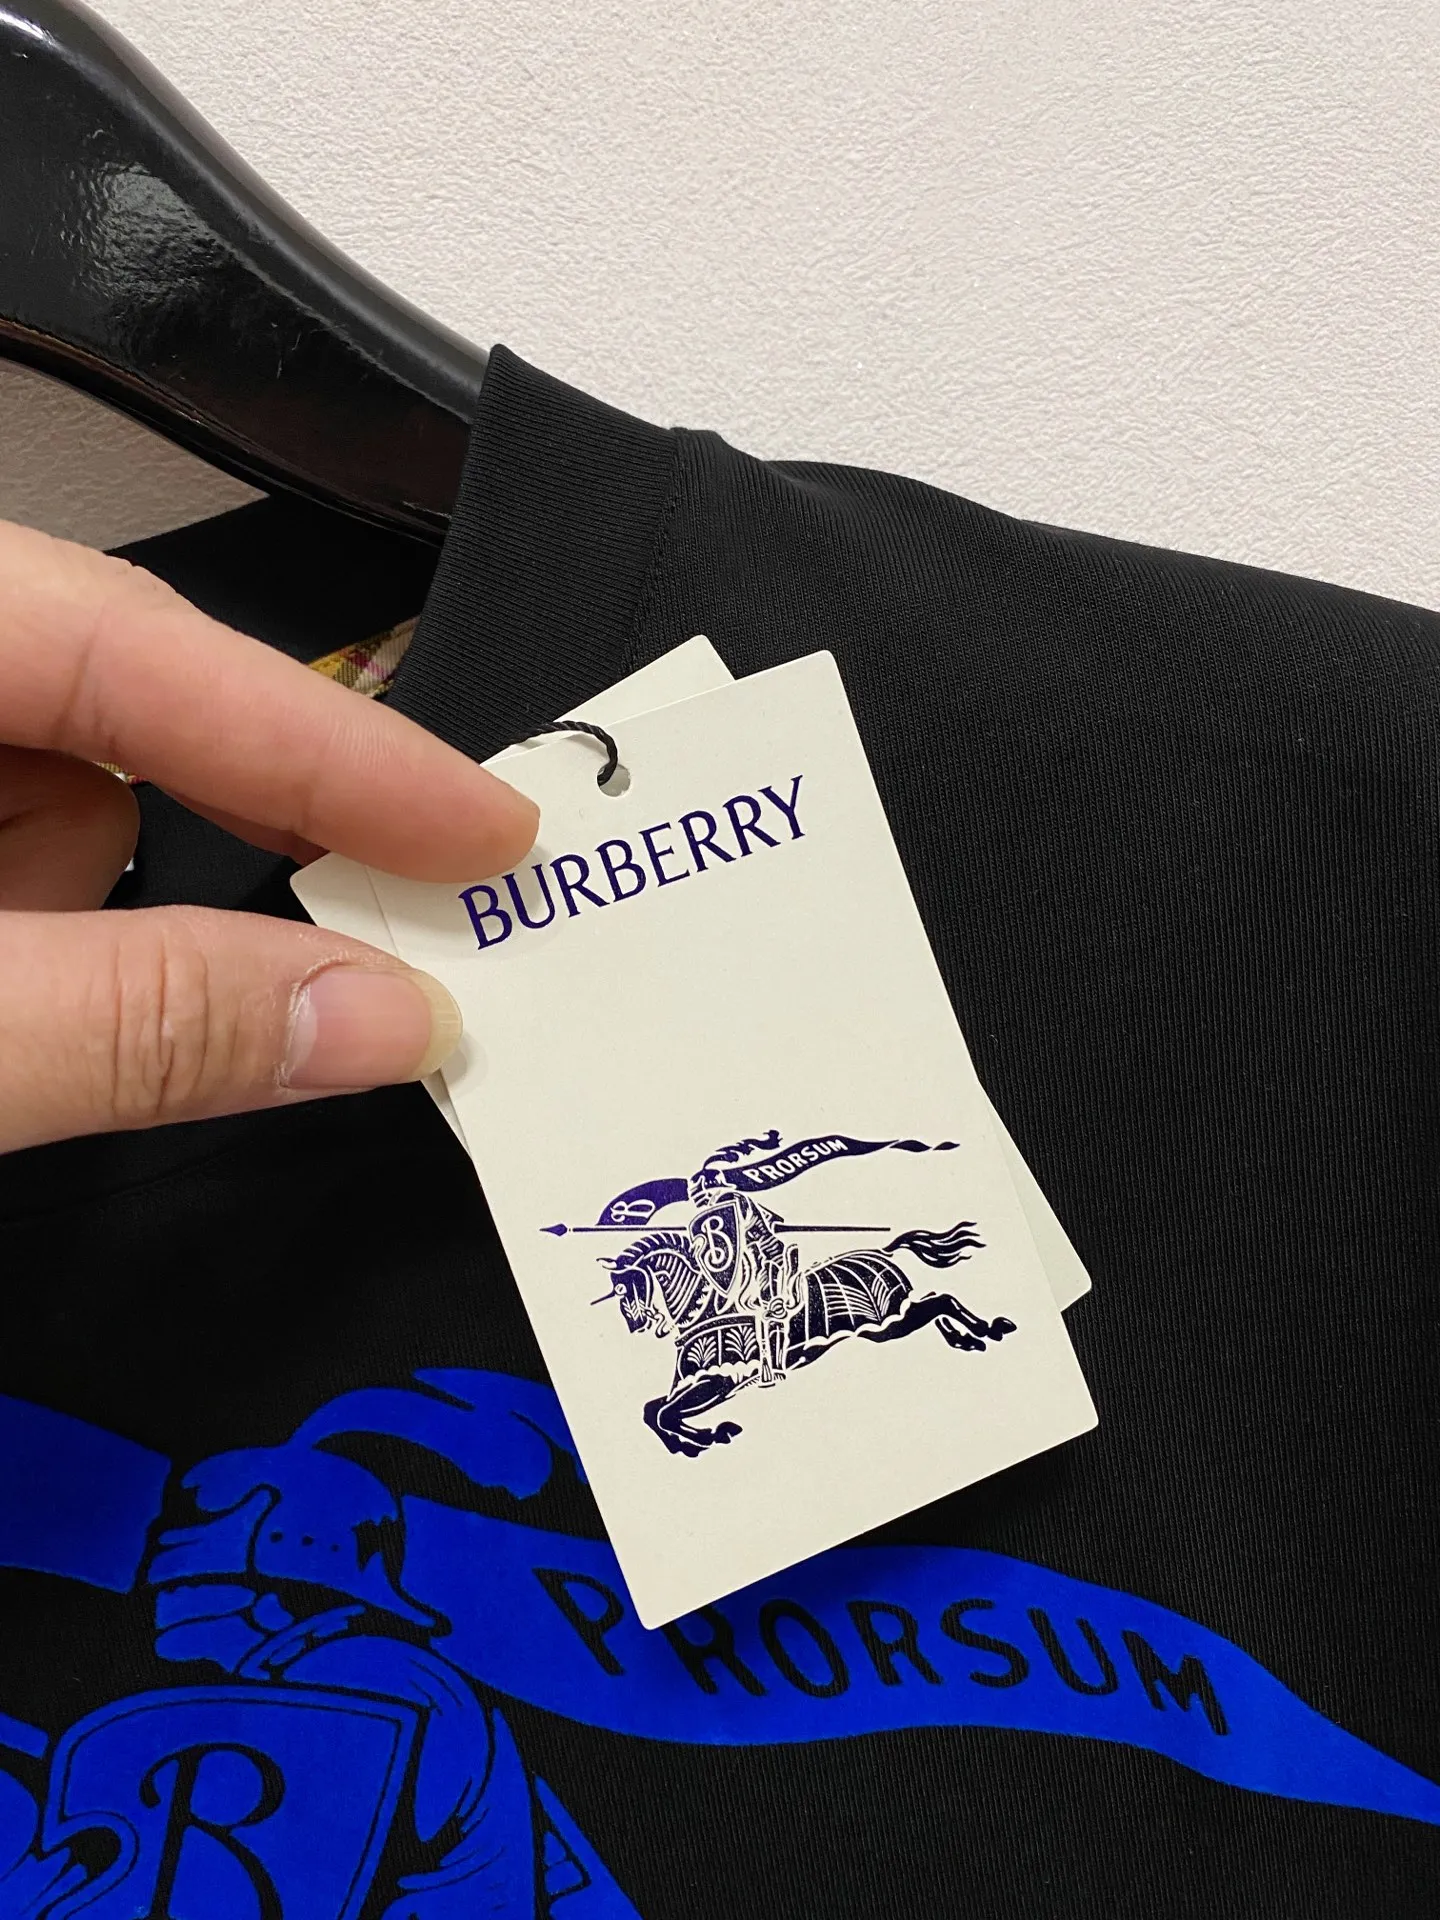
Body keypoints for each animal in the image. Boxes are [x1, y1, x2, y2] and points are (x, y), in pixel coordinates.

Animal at [598, 1221, 1015, 1456]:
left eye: (624, 1289)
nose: (637, 1324)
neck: (708, 1310)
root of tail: (882, 1250)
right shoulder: (705, 1385)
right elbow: (653, 1411)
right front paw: (692, 1442)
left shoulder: (718, 1381)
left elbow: (664, 1413)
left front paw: (708, 1436)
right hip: (887, 1327)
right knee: (933, 1302)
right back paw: (966, 1339)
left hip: (887, 1323)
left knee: (941, 1300)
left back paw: (987, 1329)